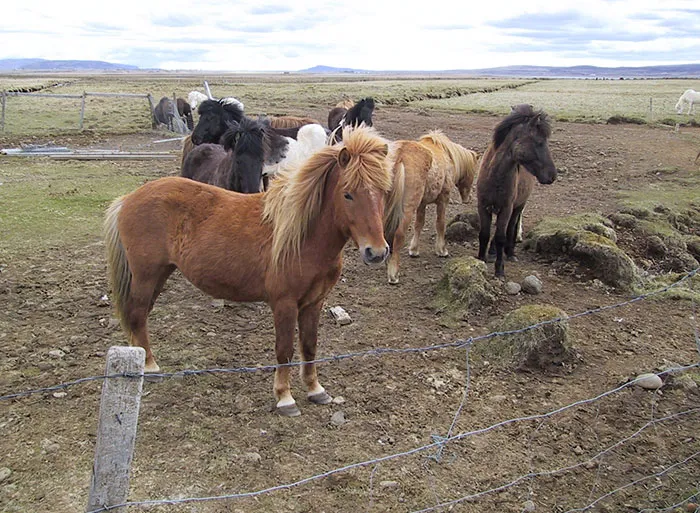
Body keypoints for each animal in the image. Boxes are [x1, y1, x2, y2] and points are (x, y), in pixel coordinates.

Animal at [104, 126, 392, 417]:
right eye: (348, 194)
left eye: (383, 191)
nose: (376, 252)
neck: (302, 236)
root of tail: (129, 199)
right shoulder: (284, 304)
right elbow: (285, 350)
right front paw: (285, 398)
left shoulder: (314, 302)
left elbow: (309, 346)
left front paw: (315, 390)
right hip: (146, 275)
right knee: (138, 314)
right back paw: (150, 367)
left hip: (159, 275)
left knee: (139, 316)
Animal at [381, 131, 478, 284]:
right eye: (473, 171)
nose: (467, 198)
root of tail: (400, 156)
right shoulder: (443, 200)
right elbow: (440, 224)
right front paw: (442, 250)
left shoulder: (422, 204)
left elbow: (419, 224)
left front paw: (414, 250)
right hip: (406, 210)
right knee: (398, 235)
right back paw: (393, 274)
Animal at [476, 104, 558, 277]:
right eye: (539, 142)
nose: (552, 175)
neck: (495, 176)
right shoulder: (483, 206)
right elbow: (484, 234)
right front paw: (481, 259)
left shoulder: (506, 208)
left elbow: (501, 237)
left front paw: (499, 269)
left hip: (517, 207)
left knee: (511, 227)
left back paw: (510, 252)